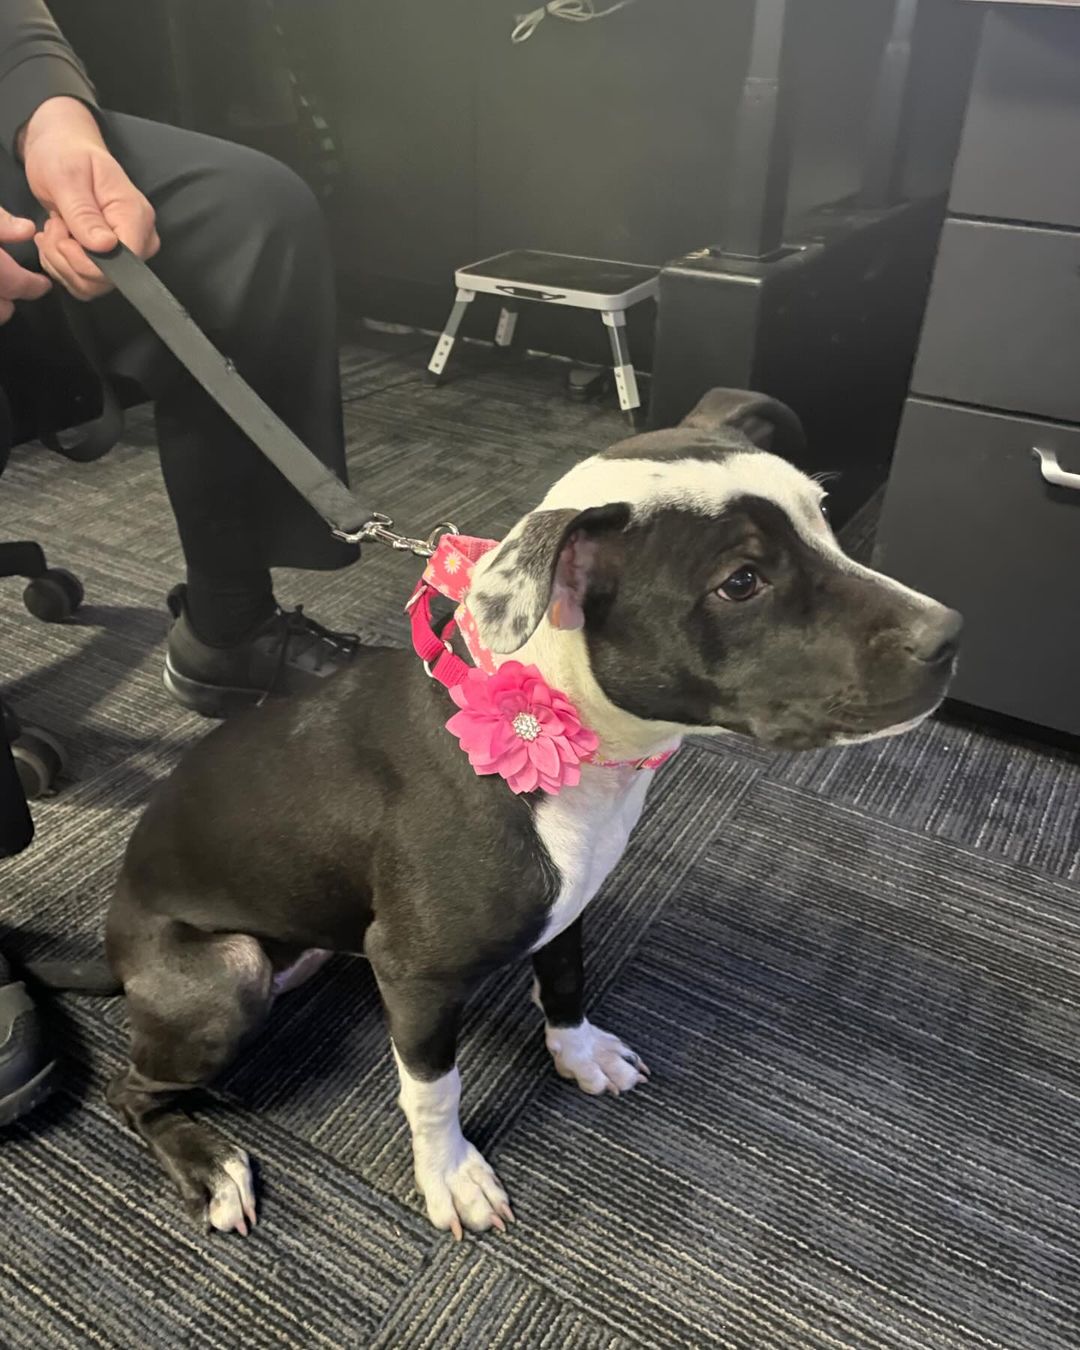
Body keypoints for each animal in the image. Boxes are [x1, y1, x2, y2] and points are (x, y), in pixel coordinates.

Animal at [103, 388, 961, 1236]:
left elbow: (568, 981)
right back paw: (209, 1165)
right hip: (228, 973)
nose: (951, 633)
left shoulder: (569, 904)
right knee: (132, 1092)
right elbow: (433, 1090)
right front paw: (451, 1175)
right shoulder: (413, 975)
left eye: (824, 515)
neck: (570, 738)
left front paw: (579, 1056)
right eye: (742, 581)